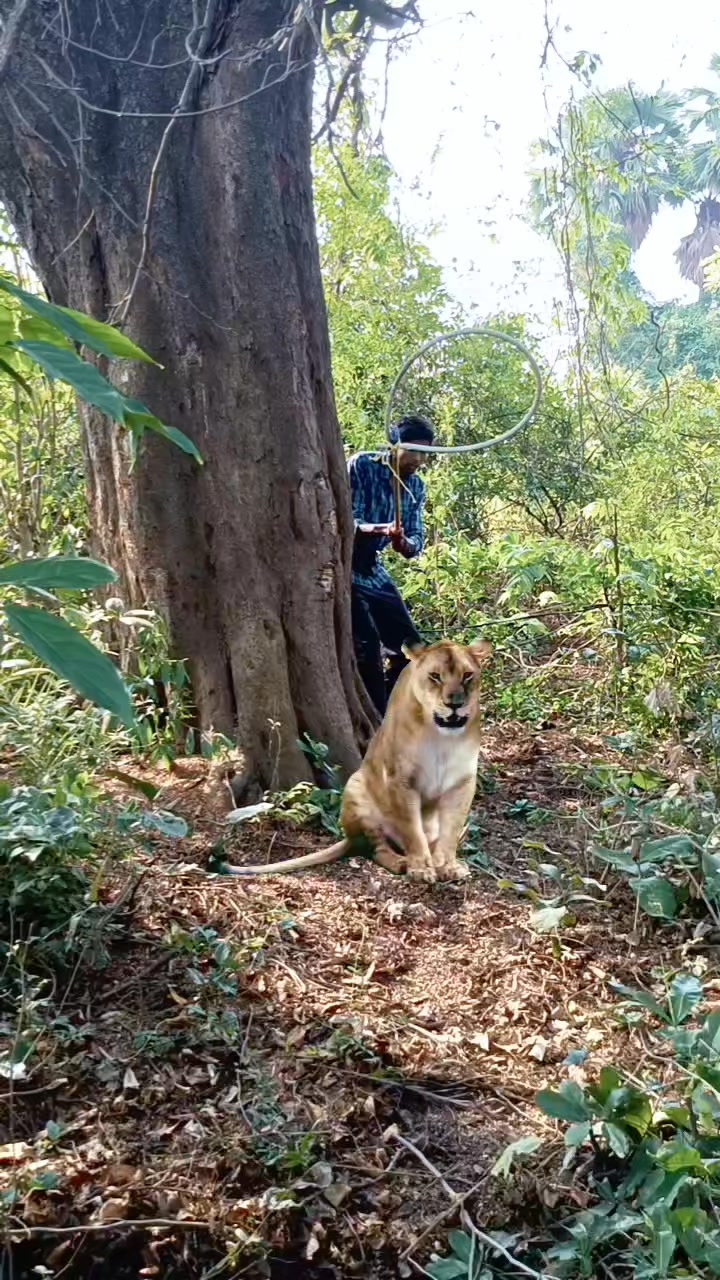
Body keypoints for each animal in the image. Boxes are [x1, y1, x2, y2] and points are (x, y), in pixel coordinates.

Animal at [221, 638, 492, 883]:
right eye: (435, 676)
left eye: (467, 675)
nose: (455, 703)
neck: (442, 737)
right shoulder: (399, 779)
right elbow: (412, 831)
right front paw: (421, 869)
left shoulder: (462, 783)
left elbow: (451, 830)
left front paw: (448, 866)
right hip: (357, 788)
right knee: (376, 849)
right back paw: (402, 862)